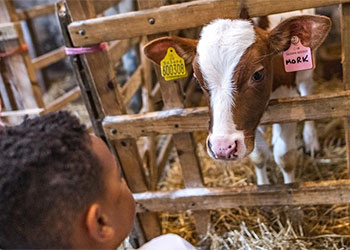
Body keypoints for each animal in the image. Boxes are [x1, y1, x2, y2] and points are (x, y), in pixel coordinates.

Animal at [144, 15, 330, 184]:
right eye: (197, 79)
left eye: (257, 74)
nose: (222, 148)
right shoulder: (249, 124)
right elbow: (259, 156)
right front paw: (264, 186)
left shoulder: (288, 100)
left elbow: (285, 157)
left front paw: (289, 186)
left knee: (307, 88)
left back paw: (311, 140)